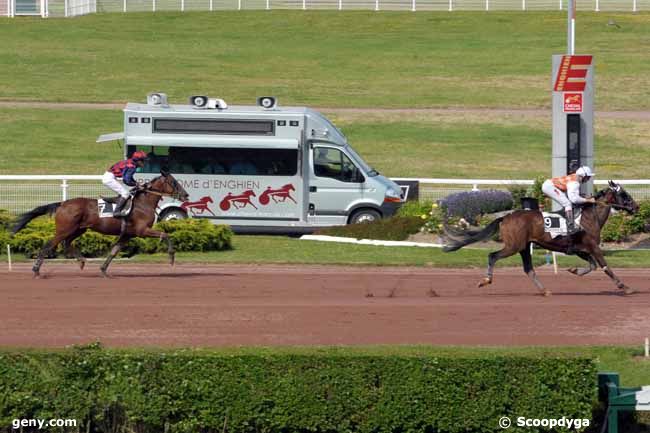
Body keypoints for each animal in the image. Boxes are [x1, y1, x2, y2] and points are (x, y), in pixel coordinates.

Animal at [11, 170, 189, 276]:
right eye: (174, 182)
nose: (186, 195)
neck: (143, 203)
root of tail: (62, 203)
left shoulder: (128, 235)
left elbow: (114, 251)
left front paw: (103, 270)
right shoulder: (142, 230)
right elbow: (165, 234)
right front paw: (172, 257)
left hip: (78, 229)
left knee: (67, 243)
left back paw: (81, 261)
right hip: (64, 229)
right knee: (49, 245)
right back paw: (36, 269)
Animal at [440, 180, 636, 296]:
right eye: (624, 194)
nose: (636, 206)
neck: (589, 217)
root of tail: (506, 216)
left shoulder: (579, 249)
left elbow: (592, 265)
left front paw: (573, 270)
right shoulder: (593, 246)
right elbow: (605, 266)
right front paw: (624, 287)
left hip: (524, 247)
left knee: (529, 269)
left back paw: (545, 290)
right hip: (514, 246)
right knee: (493, 256)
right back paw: (486, 280)